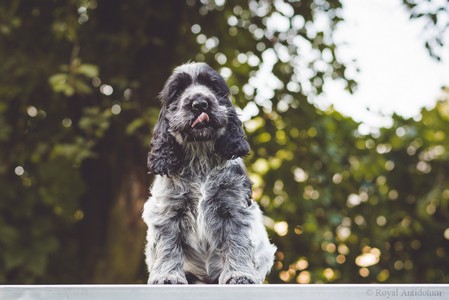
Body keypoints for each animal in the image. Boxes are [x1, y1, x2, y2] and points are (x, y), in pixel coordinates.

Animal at [143, 62, 276, 284]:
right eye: (177, 91)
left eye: (213, 87)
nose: (200, 104)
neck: (200, 158)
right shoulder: (168, 211)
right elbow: (168, 245)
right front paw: (167, 277)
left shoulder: (233, 208)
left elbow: (237, 242)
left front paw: (239, 275)